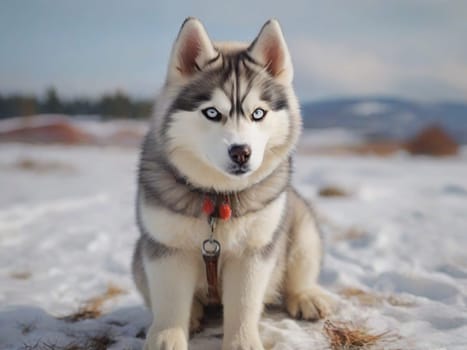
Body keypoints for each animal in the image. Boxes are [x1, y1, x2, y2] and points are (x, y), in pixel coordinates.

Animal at [133, 17, 332, 350]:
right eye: (212, 112)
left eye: (258, 113)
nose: (241, 152)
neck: (218, 199)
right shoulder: (166, 248)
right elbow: (170, 304)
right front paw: (168, 337)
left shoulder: (253, 252)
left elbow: (243, 304)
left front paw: (242, 341)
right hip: (138, 255)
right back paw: (194, 313)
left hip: (301, 228)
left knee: (299, 273)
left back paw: (305, 297)